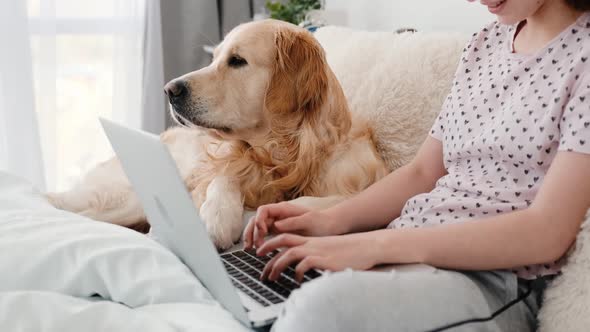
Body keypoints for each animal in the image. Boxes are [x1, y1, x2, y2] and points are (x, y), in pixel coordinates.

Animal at [46, 19, 388, 249]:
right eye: (214, 59)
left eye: (237, 61)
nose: (170, 90)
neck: (283, 154)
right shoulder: (219, 165)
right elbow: (222, 177)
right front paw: (217, 217)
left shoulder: (364, 184)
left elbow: (328, 202)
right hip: (120, 199)